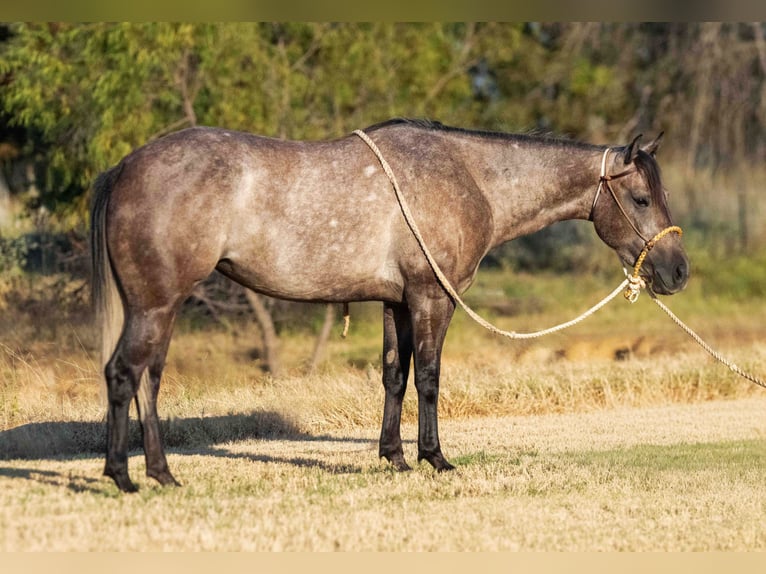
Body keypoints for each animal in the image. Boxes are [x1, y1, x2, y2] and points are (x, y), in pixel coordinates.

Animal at [91, 118, 689, 492]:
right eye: (640, 198)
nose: (677, 271)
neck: (469, 177)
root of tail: (124, 167)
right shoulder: (431, 298)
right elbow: (428, 376)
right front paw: (435, 458)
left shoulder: (395, 303)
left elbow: (394, 376)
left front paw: (394, 457)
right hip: (156, 305)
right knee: (125, 374)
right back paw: (124, 476)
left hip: (157, 308)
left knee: (147, 379)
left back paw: (161, 473)